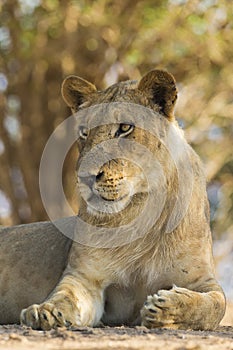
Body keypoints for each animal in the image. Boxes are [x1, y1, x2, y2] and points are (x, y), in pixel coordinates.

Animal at [0, 69, 226, 330]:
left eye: (125, 127)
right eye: (84, 132)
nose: (85, 177)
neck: (140, 211)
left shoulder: (203, 278)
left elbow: (214, 305)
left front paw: (166, 308)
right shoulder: (86, 277)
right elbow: (65, 295)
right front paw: (44, 311)